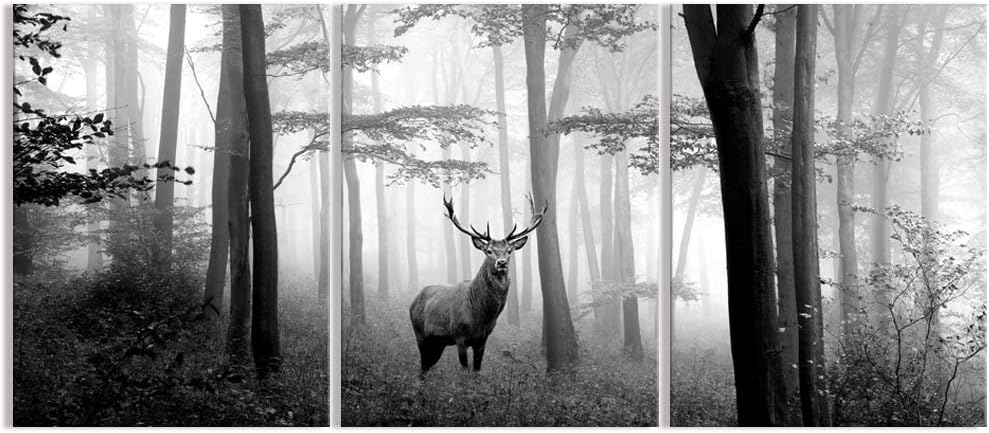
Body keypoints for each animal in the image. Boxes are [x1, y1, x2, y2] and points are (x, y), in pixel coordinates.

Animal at [409, 195, 546, 378]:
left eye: (509, 250)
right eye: (488, 250)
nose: (501, 263)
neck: (480, 317)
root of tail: (413, 300)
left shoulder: (483, 339)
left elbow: (476, 370)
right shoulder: (459, 335)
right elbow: (464, 369)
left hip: (438, 342)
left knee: (427, 365)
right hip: (420, 333)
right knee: (422, 366)